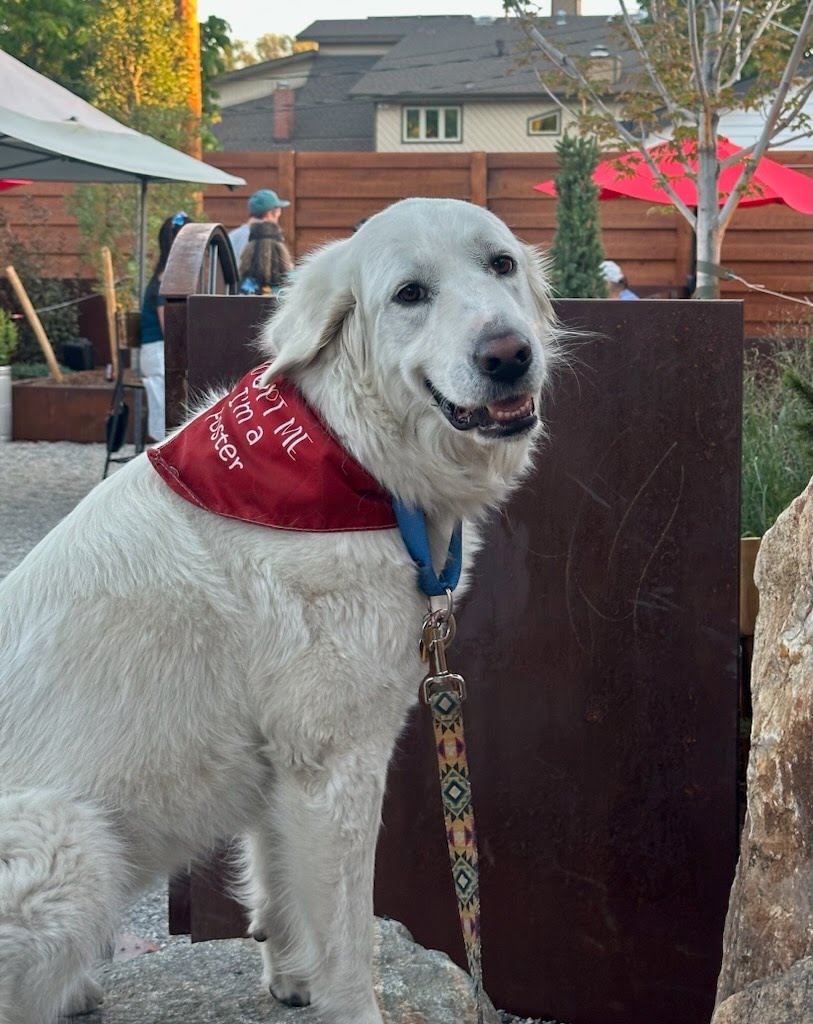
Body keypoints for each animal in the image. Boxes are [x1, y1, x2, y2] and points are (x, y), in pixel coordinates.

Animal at [0, 197, 552, 1024]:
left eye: (500, 265)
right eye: (409, 294)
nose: (509, 355)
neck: (350, 458)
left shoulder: (283, 767)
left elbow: (280, 879)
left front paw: (290, 977)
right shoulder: (337, 763)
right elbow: (349, 936)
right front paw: (347, 1004)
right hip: (70, 846)